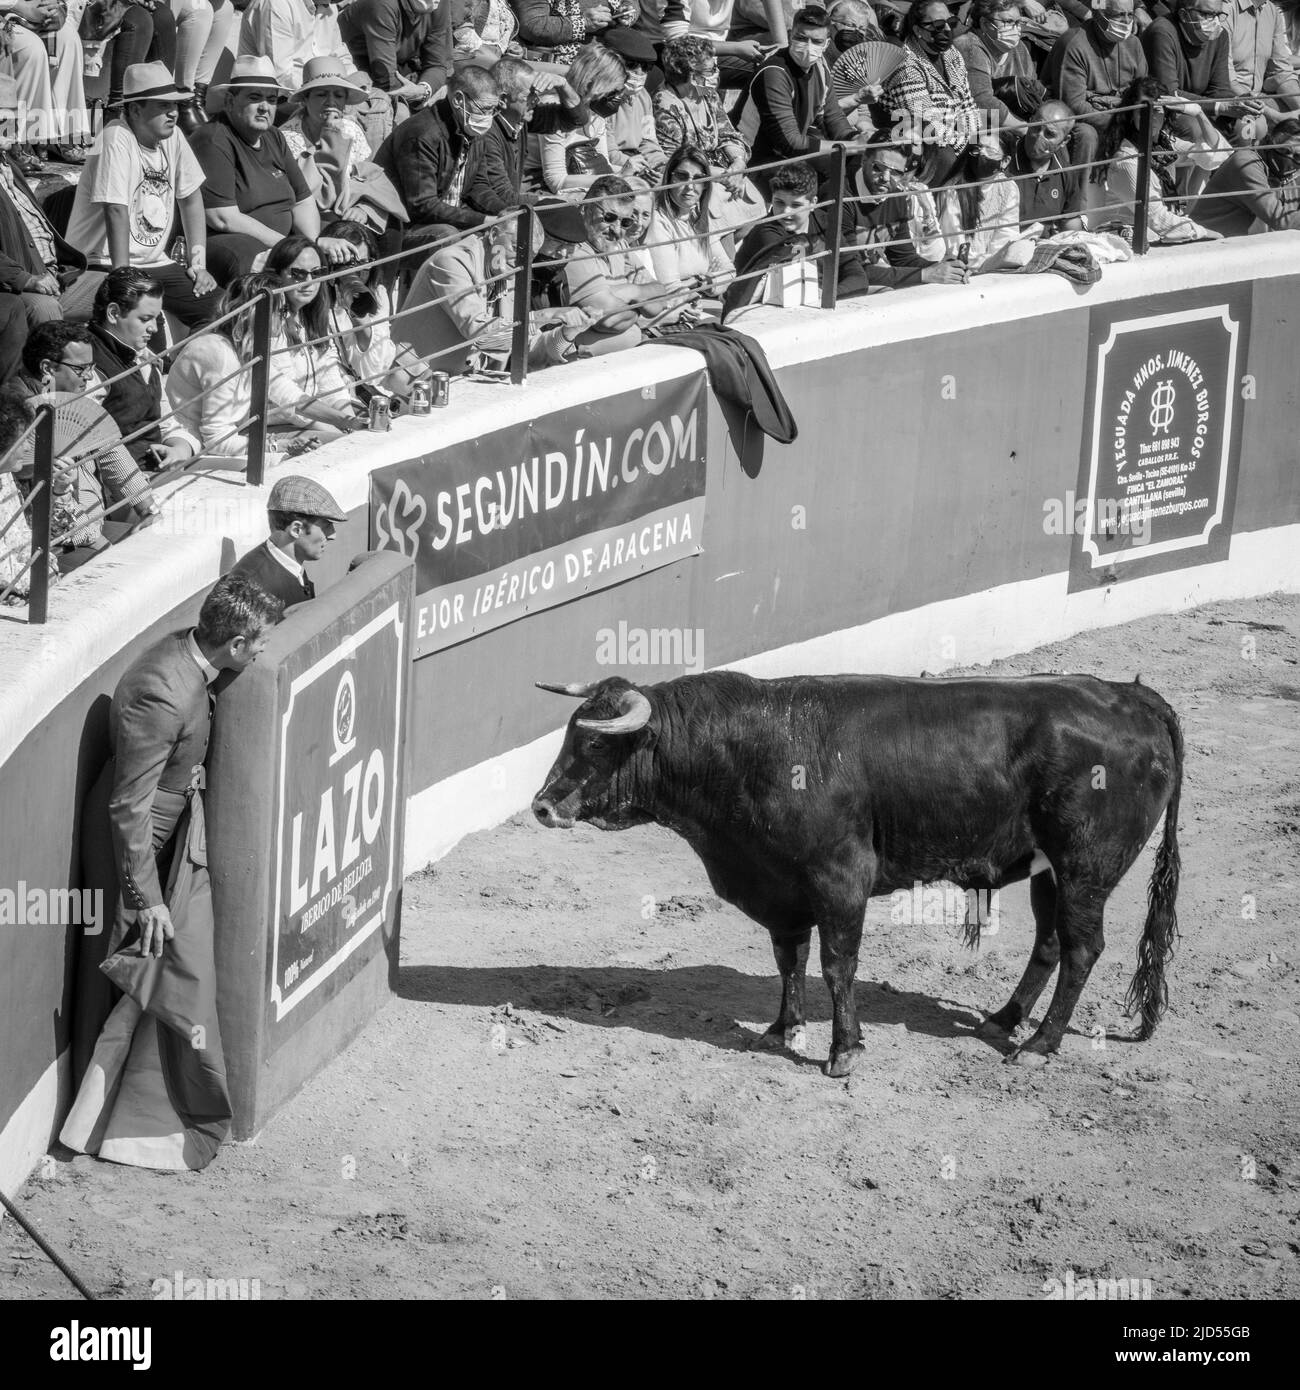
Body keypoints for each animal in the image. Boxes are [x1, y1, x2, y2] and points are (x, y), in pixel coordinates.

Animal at [533, 672, 1184, 1073]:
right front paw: (782, 1030)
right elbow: (789, 959)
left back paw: (1041, 1043)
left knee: (1082, 948)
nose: (540, 806)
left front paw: (844, 1050)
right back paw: (1004, 1021)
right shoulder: (781, 889)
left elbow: (836, 965)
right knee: (1049, 942)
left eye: (595, 746)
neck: (753, 750)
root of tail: (1132, 697)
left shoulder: (841, 880)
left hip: (1085, 867)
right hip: (1049, 869)